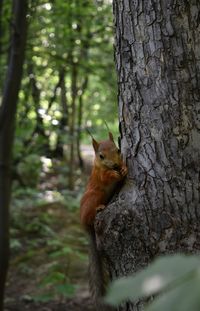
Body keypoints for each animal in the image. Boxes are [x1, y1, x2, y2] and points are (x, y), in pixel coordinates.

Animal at [79, 132, 126, 311]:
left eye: (118, 150)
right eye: (101, 156)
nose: (115, 164)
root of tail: (85, 226)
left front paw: (124, 168)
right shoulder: (98, 175)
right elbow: (106, 177)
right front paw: (114, 174)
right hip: (93, 196)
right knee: (91, 213)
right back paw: (98, 209)